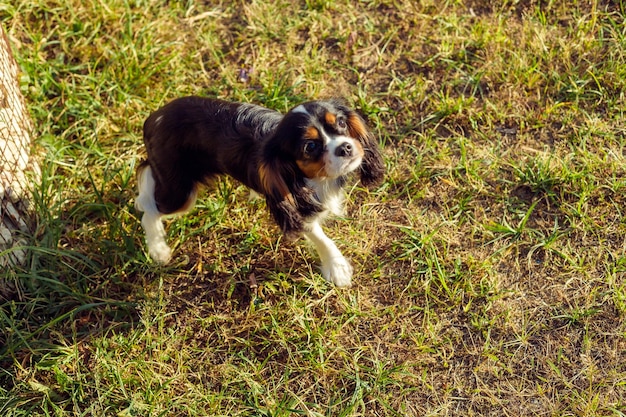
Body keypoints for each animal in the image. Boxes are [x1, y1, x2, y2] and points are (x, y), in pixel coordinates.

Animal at [134, 97, 382, 286]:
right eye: (310, 147)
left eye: (340, 122)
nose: (345, 147)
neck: (318, 179)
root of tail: (152, 119)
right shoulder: (295, 207)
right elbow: (321, 237)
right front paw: (337, 267)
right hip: (181, 192)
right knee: (149, 209)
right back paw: (158, 249)